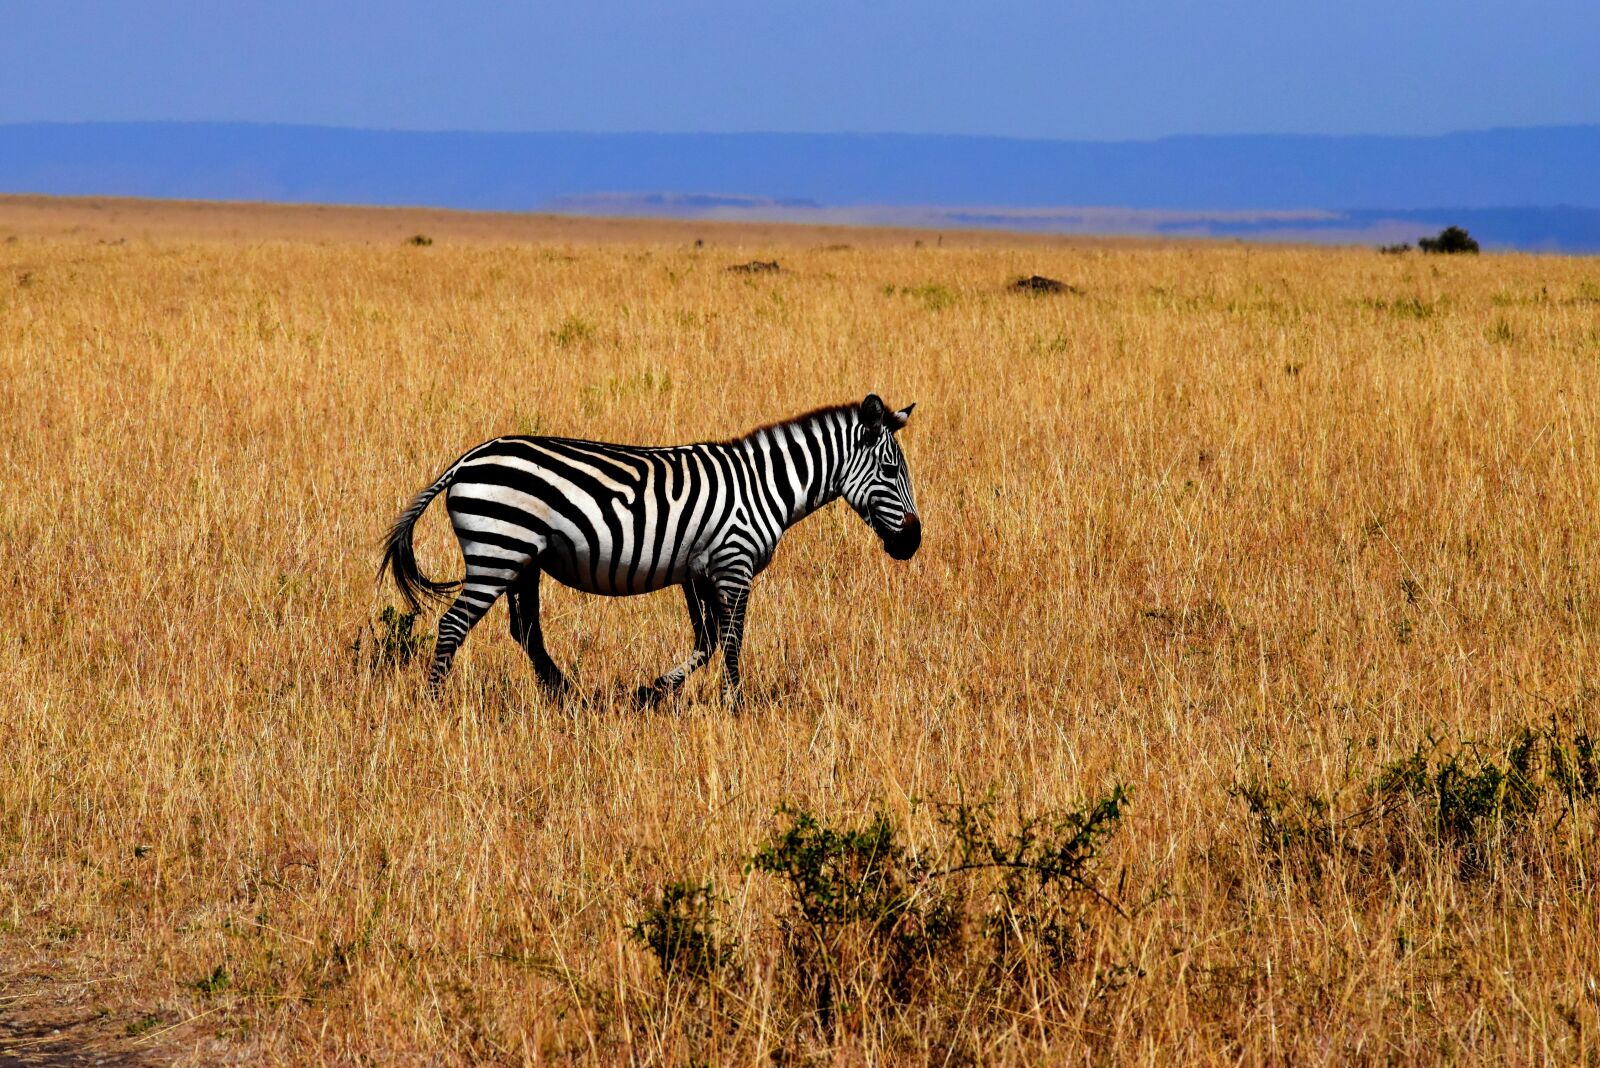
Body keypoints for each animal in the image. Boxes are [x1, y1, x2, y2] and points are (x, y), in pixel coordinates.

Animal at [378, 393, 920, 706]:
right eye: (891, 471)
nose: (912, 542)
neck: (764, 486)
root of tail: (467, 459)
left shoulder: (698, 570)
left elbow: (707, 640)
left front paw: (653, 690)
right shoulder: (734, 563)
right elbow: (731, 640)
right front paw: (735, 704)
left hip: (522, 559)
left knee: (525, 630)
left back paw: (567, 696)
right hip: (498, 551)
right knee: (453, 625)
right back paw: (434, 703)